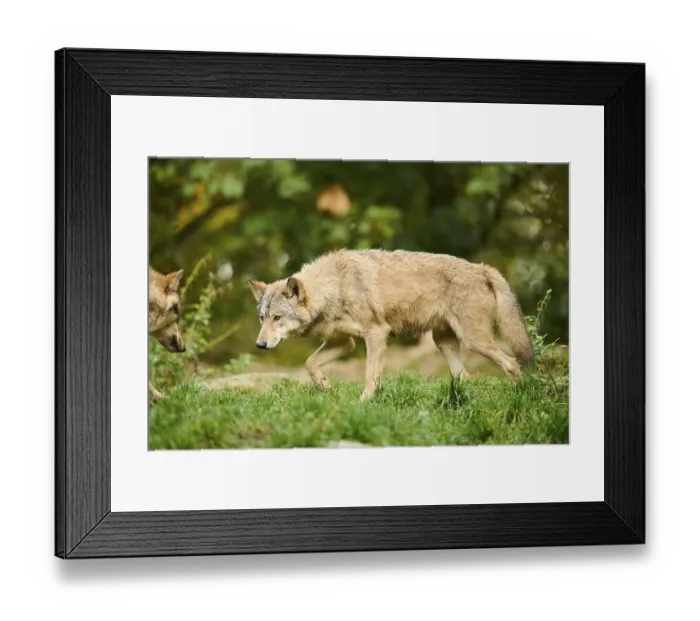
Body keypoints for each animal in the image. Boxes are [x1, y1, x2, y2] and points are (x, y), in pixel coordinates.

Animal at [249, 249, 533, 401]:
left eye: (277, 318)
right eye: (262, 318)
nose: (259, 344)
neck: (335, 287)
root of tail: (483, 269)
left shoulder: (376, 334)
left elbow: (369, 375)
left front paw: (363, 403)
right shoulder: (344, 342)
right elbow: (310, 364)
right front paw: (326, 387)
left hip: (473, 340)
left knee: (512, 362)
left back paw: (520, 397)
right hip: (444, 343)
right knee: (465, 377)